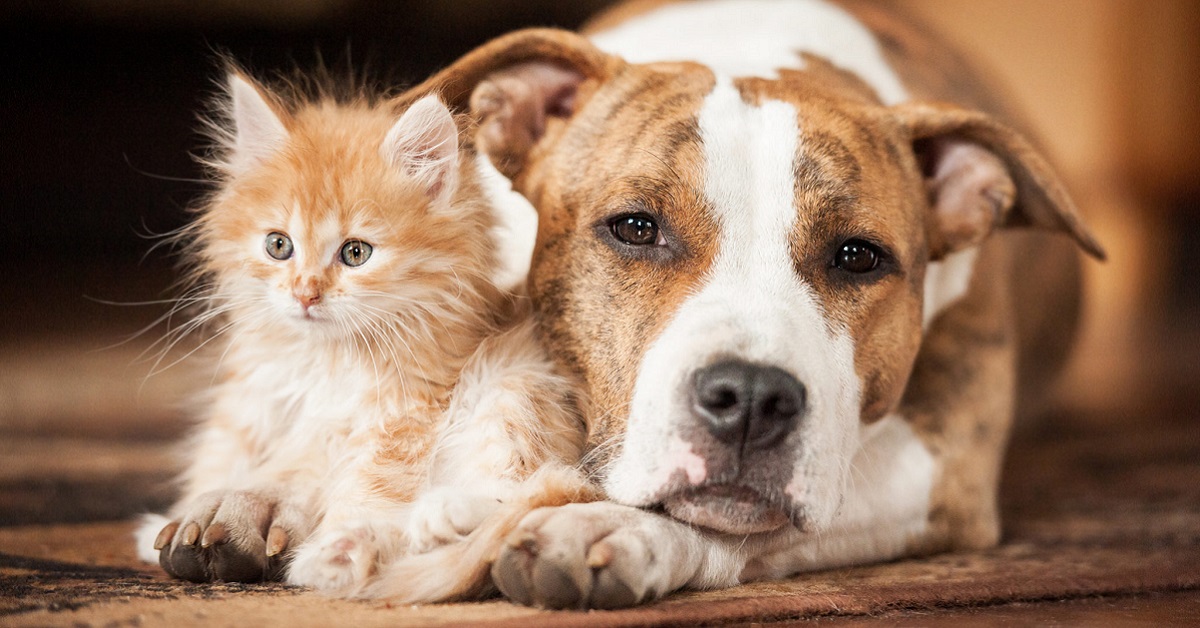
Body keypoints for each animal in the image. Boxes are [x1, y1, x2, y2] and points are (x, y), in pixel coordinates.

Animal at [136, 69, 585, 600]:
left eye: (355, 253)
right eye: (278, 246)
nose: (305, 293)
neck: (324, 361)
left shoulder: (408, 411)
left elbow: (371, 481)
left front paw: (337, 550)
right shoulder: (252, 402)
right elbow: (226, 462)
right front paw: (178, 520)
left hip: (517, 386)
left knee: (531, 487)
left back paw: (429, 519)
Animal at [396, 0, 1104, 612]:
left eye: (859, 256)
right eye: (636, 228)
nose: (752, 399)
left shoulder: (947, 464)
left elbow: (767, 523)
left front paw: (609, 528)